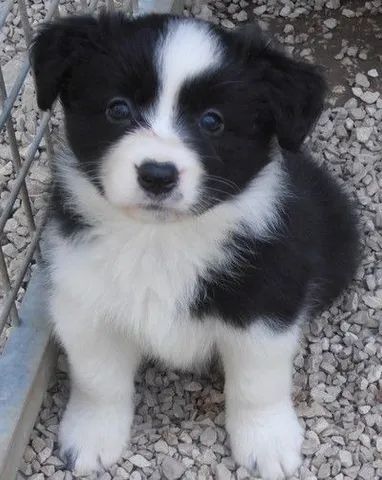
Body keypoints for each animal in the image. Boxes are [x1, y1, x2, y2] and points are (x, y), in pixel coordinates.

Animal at [31, 12, 360, 480]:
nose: (157, 174)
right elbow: (98, 379)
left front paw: (267, 442)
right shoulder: (82, 297)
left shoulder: (265, 302)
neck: (161, 239)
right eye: (118, 108)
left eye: (212, 121)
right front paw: (92, 436)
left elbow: (258, 382)